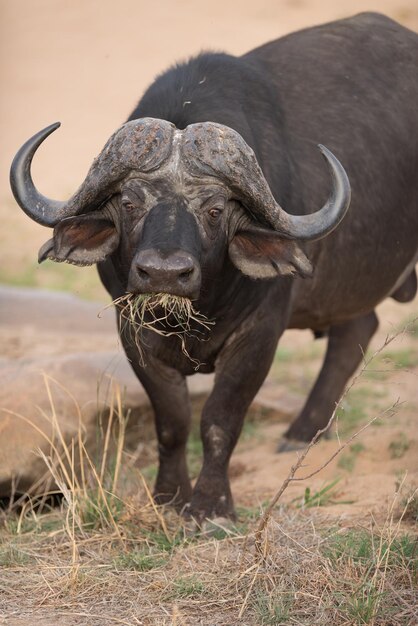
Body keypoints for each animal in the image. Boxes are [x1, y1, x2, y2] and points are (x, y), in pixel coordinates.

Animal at [10, 12, 418, 520]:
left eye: (216, 209)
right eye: (128, 202)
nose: (164, 273)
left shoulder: (260, 333)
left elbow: (220, 420)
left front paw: (211, 506)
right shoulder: (132, 331)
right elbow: (173, 422)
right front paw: (169, 497)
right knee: (356, 328)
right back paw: (301, 433)